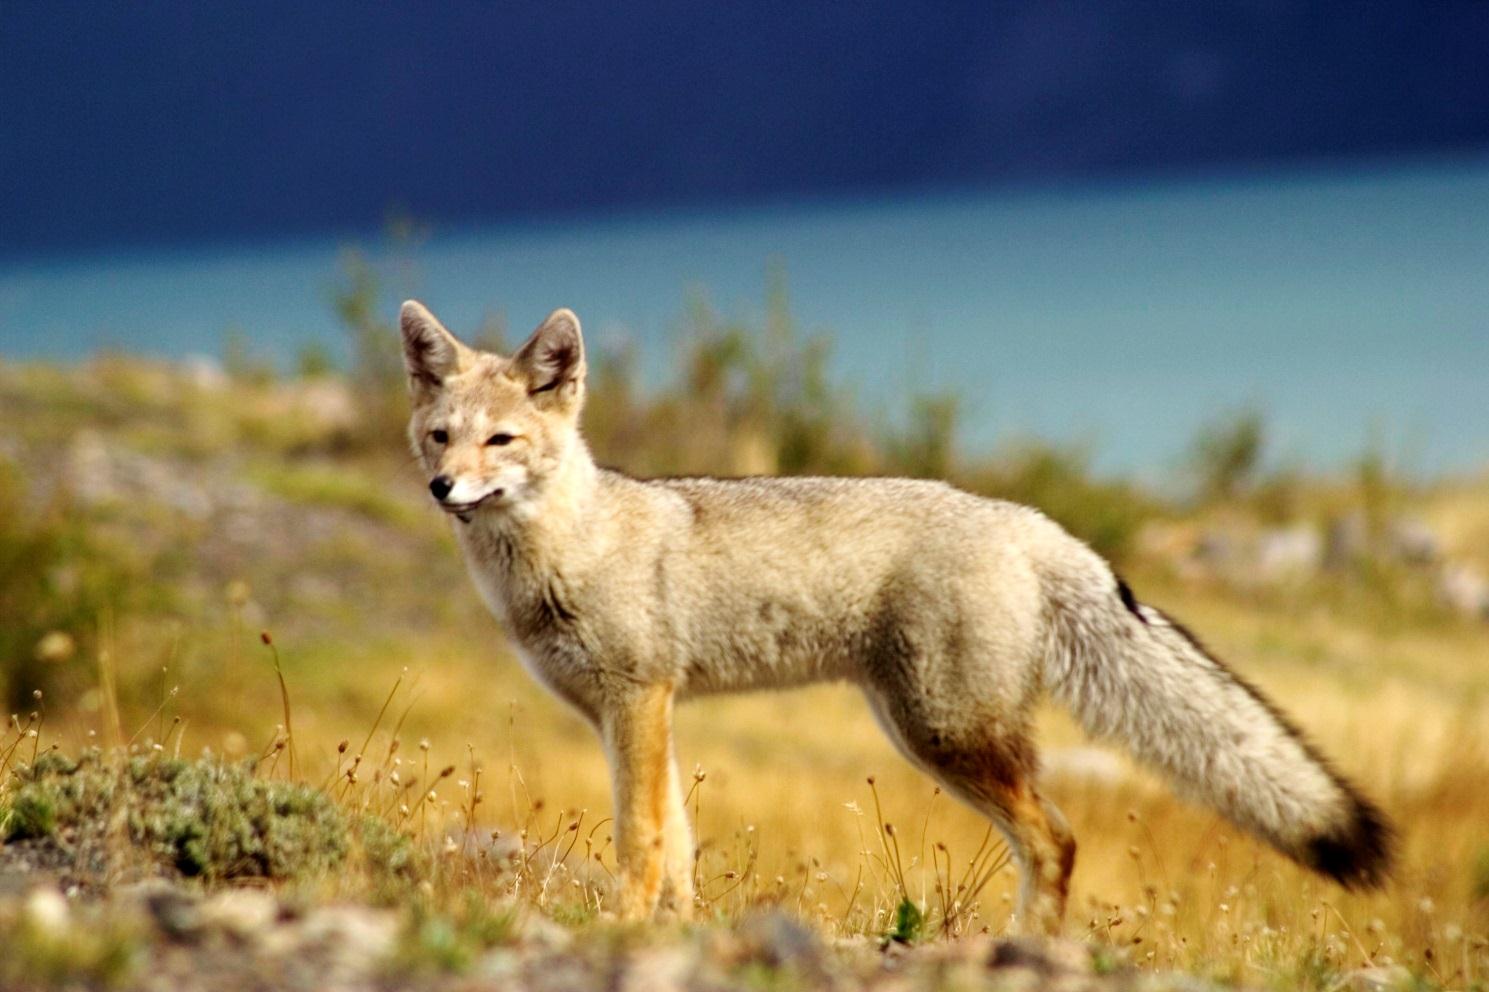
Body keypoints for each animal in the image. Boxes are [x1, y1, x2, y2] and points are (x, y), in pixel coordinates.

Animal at [399, 297, 1393, 929]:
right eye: (439, 437)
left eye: (502, 441)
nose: (442, 488)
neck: (565, 549)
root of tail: (1025, 519)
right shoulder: (641, 714)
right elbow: (676, 843)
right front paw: (670, 932)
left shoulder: (637, 703)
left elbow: (640, 839)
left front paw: (625, 929)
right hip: (930, 730)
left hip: (944, 735)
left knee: (1058, 842)